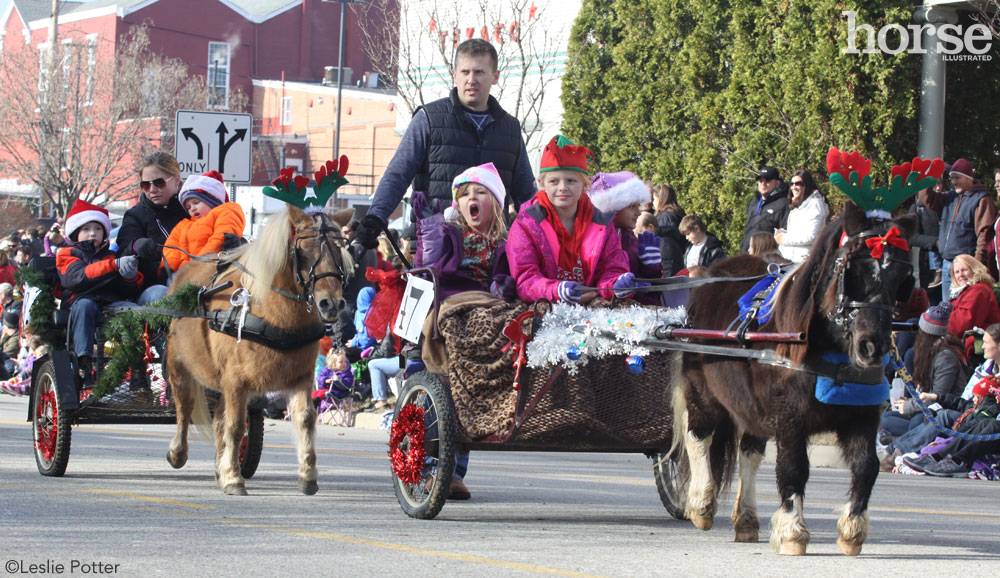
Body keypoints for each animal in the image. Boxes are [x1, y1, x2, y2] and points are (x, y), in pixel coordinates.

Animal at [668, 148, 940, 552]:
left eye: (902, 277)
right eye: (853, 269)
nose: (872, 346)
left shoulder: (862, 416)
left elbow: (866, 467)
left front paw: (852, 531)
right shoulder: (789, 415)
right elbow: (793, 467)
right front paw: (793, 531)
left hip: (750, 404)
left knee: (749, 452)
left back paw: (746, 520)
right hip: (702, 388)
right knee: (699, 437)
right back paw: (701, 505)